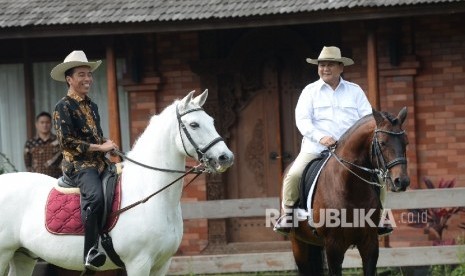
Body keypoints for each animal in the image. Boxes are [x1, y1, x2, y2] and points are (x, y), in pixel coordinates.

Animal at [0, 89, 232, 274]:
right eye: (194, 125)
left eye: (211, 121)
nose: (225, 157)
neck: (149, 192)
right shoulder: (139, 263)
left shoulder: (161, 264)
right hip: (4, 254)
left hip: (22, 256)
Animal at [288, 106, 408, 274]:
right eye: (382, 143)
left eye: (406, 142)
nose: (402, 181)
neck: (351, 190)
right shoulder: (333, 246)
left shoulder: (370, 244)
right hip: (299, 245)